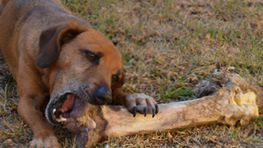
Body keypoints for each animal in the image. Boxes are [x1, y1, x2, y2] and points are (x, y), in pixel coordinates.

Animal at [0, 0, 159, 147]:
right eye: (91, 55)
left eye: (114, 77)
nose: (105, 97)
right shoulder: (27, 100)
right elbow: (38, 119)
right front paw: (45, 138)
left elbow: (119, 93)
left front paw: (137, 98)